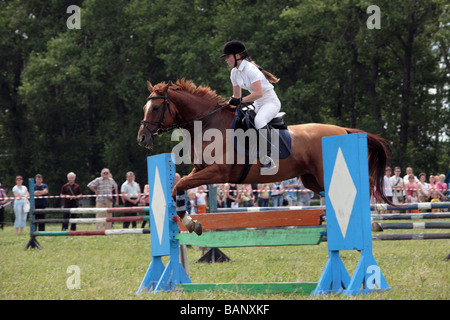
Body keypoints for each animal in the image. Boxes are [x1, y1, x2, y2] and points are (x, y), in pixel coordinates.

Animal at [138, 79, 390, 235]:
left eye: (156, 109)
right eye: (144, 108)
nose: (142, 138)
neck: (208, 123)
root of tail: (343, 130)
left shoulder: (217, 172)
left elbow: (179, 185)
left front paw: (191, 223)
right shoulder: (200, 171)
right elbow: (178, 188)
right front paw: (192, 223)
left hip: (323, 174)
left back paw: (373, 221)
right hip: (312, 180)